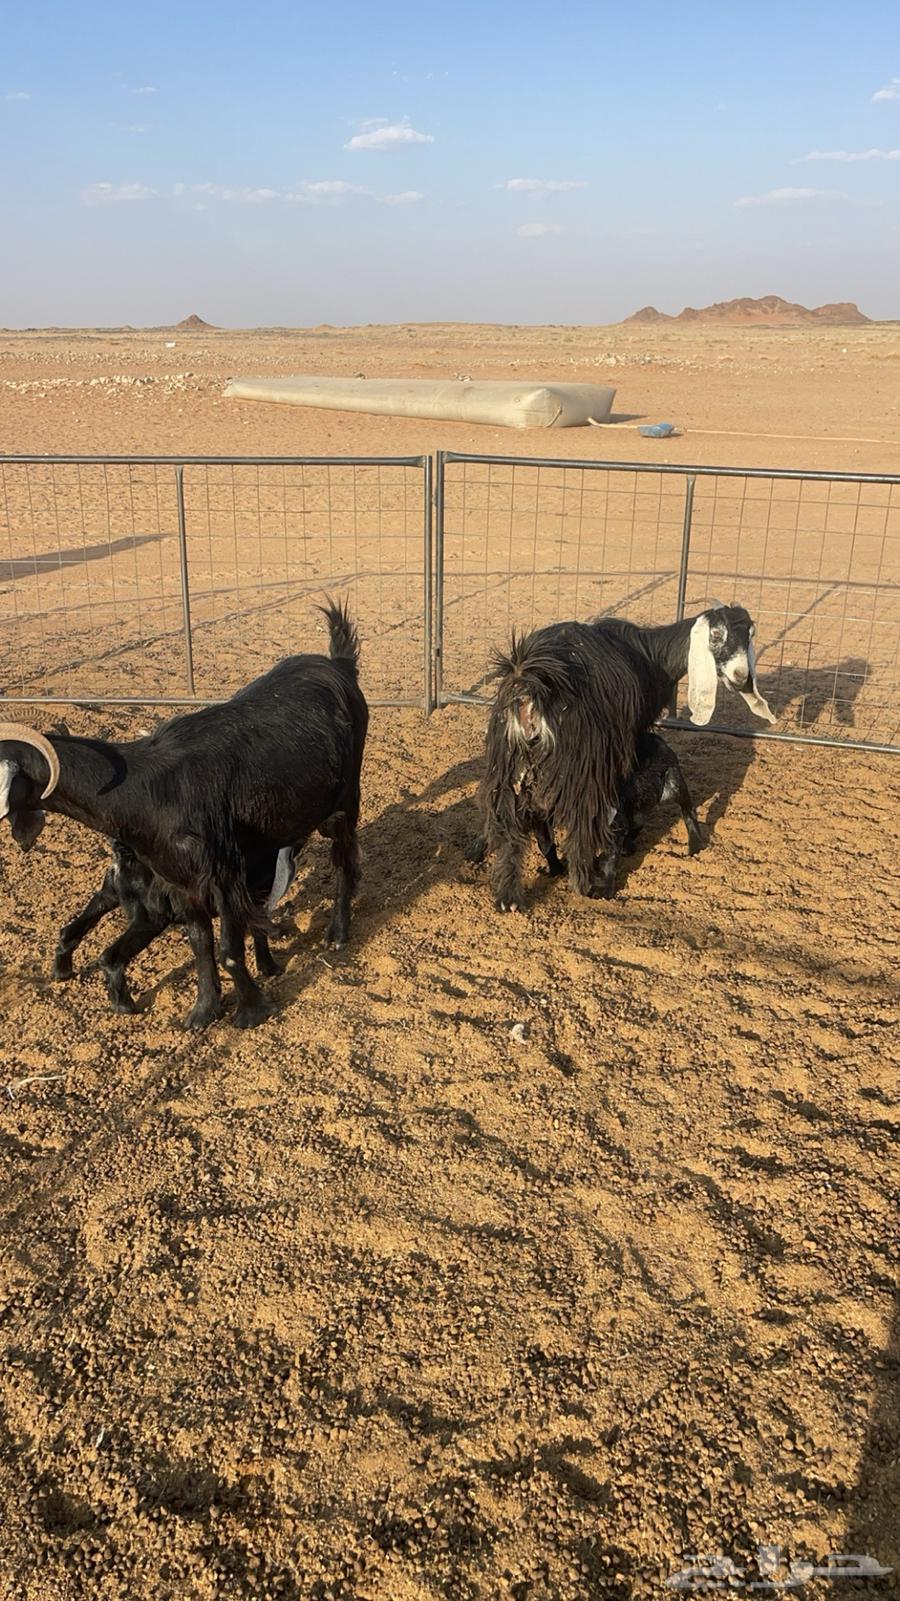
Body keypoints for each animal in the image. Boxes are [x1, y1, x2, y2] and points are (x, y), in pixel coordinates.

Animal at [0, 600, 368, 1029]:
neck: (147, 792)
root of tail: (338, 665)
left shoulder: (224, 875)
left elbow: (228, 951)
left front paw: (250, 1012)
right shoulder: (183, 883)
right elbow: (201, 945)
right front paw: (203, 1011)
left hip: (344, 803)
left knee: (345, 862)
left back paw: (338, 933)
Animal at [476, 605, 773, 911]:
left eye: (750, 635)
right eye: (716, 634)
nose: (741, 677)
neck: (651, 655)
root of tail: (528, 686)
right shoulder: (630, 735)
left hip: (507, 764)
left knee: (509, 829)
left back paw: (509, 897)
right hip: (581, 768)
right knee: (580, 826)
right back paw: (582, 883)